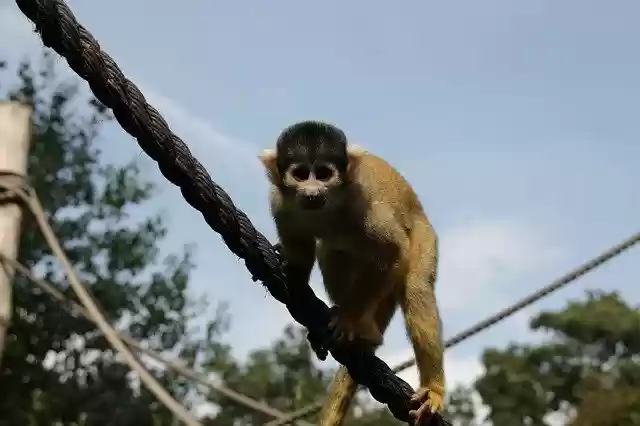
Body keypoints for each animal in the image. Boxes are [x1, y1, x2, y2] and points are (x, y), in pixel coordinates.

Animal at [258, 121, 445, 426]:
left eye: (323, 174)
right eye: (301, 174)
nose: (312, 191)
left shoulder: (360, 201)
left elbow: (392, 249)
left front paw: (349, 320)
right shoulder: (279, 200)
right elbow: (301, 253)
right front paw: (286, 263)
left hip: (424, 236)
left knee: (415, 284)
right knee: (331, 250)